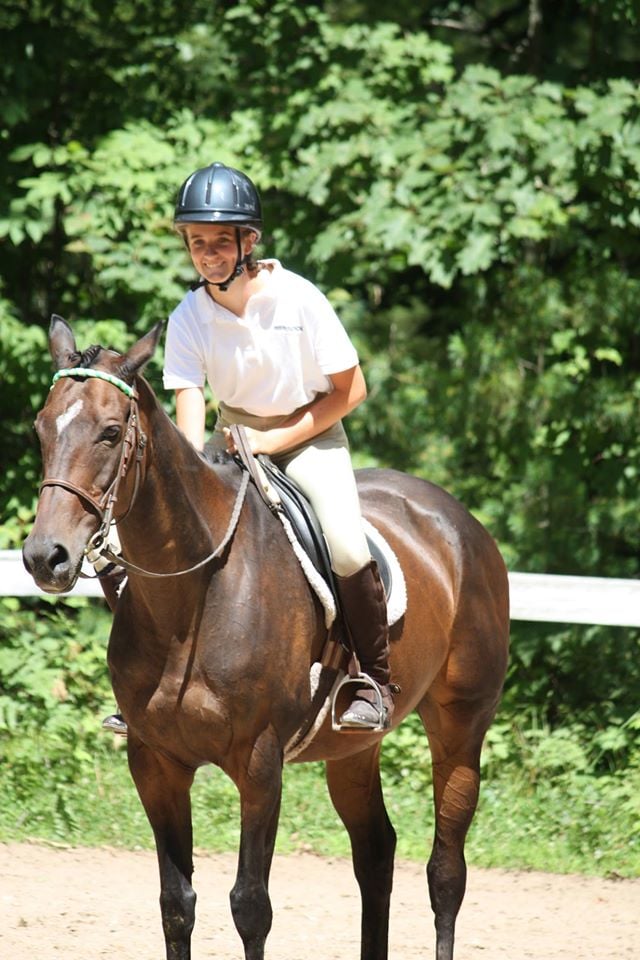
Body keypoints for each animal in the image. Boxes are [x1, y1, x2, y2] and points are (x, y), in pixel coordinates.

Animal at [23, 315, 510, 960]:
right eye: (41, 428)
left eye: (109, 432)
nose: (44, 557)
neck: (193, 599)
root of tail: (461, 522)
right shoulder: (154, 763)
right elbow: (176, 905)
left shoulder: (259, 763)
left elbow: (250, 906)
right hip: (351, 748)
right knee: (375, 851)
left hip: (460, 728)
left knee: (446, 872)